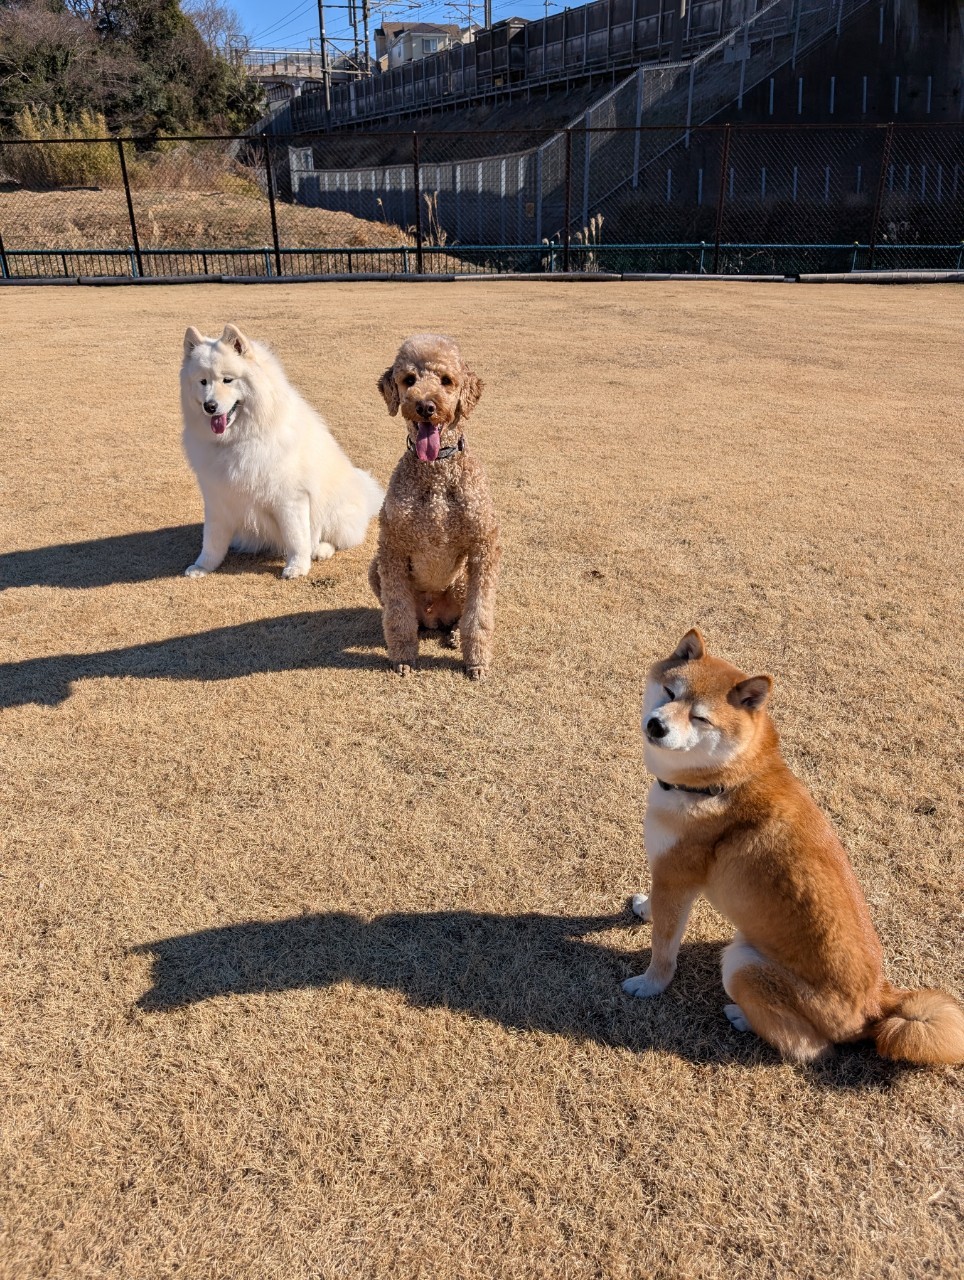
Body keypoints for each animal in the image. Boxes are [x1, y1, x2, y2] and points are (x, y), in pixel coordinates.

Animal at [180, 324, 383, 578]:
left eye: (227, 380)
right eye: (203, 381)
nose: (210, 406)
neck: (239, 439)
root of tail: (366, 496)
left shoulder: (290, 498)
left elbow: (296, 537)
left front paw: (297, 567)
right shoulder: (218, 498)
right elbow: (211, 540)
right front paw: (203, 566)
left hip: (335, 511)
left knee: (336, 539)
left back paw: (320, 550)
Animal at [368, 334, 500, 680]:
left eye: (446, 380)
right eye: (409, 380)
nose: (426, 406)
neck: (436, 471)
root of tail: (432, 615)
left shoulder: (483, 545)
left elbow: (478, 616)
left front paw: (476, 662)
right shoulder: (392, 546)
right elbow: (398, 616)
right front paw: (402, 657)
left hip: (462, 580)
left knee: (459, 617)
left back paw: (453, 634)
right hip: (375, 569)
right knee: (406, 616)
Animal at [622, 628, 964, 1066]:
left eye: (699, 717)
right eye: (669, 692)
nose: (657, 725)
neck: (721, 782)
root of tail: (878, 1003)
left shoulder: (677, 877)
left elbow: (663, 946)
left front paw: (650, 984)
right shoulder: (667, 876)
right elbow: (657, 908)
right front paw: (644, 908)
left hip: (742, 964)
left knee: (809, 1047)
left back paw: (742, 1016)